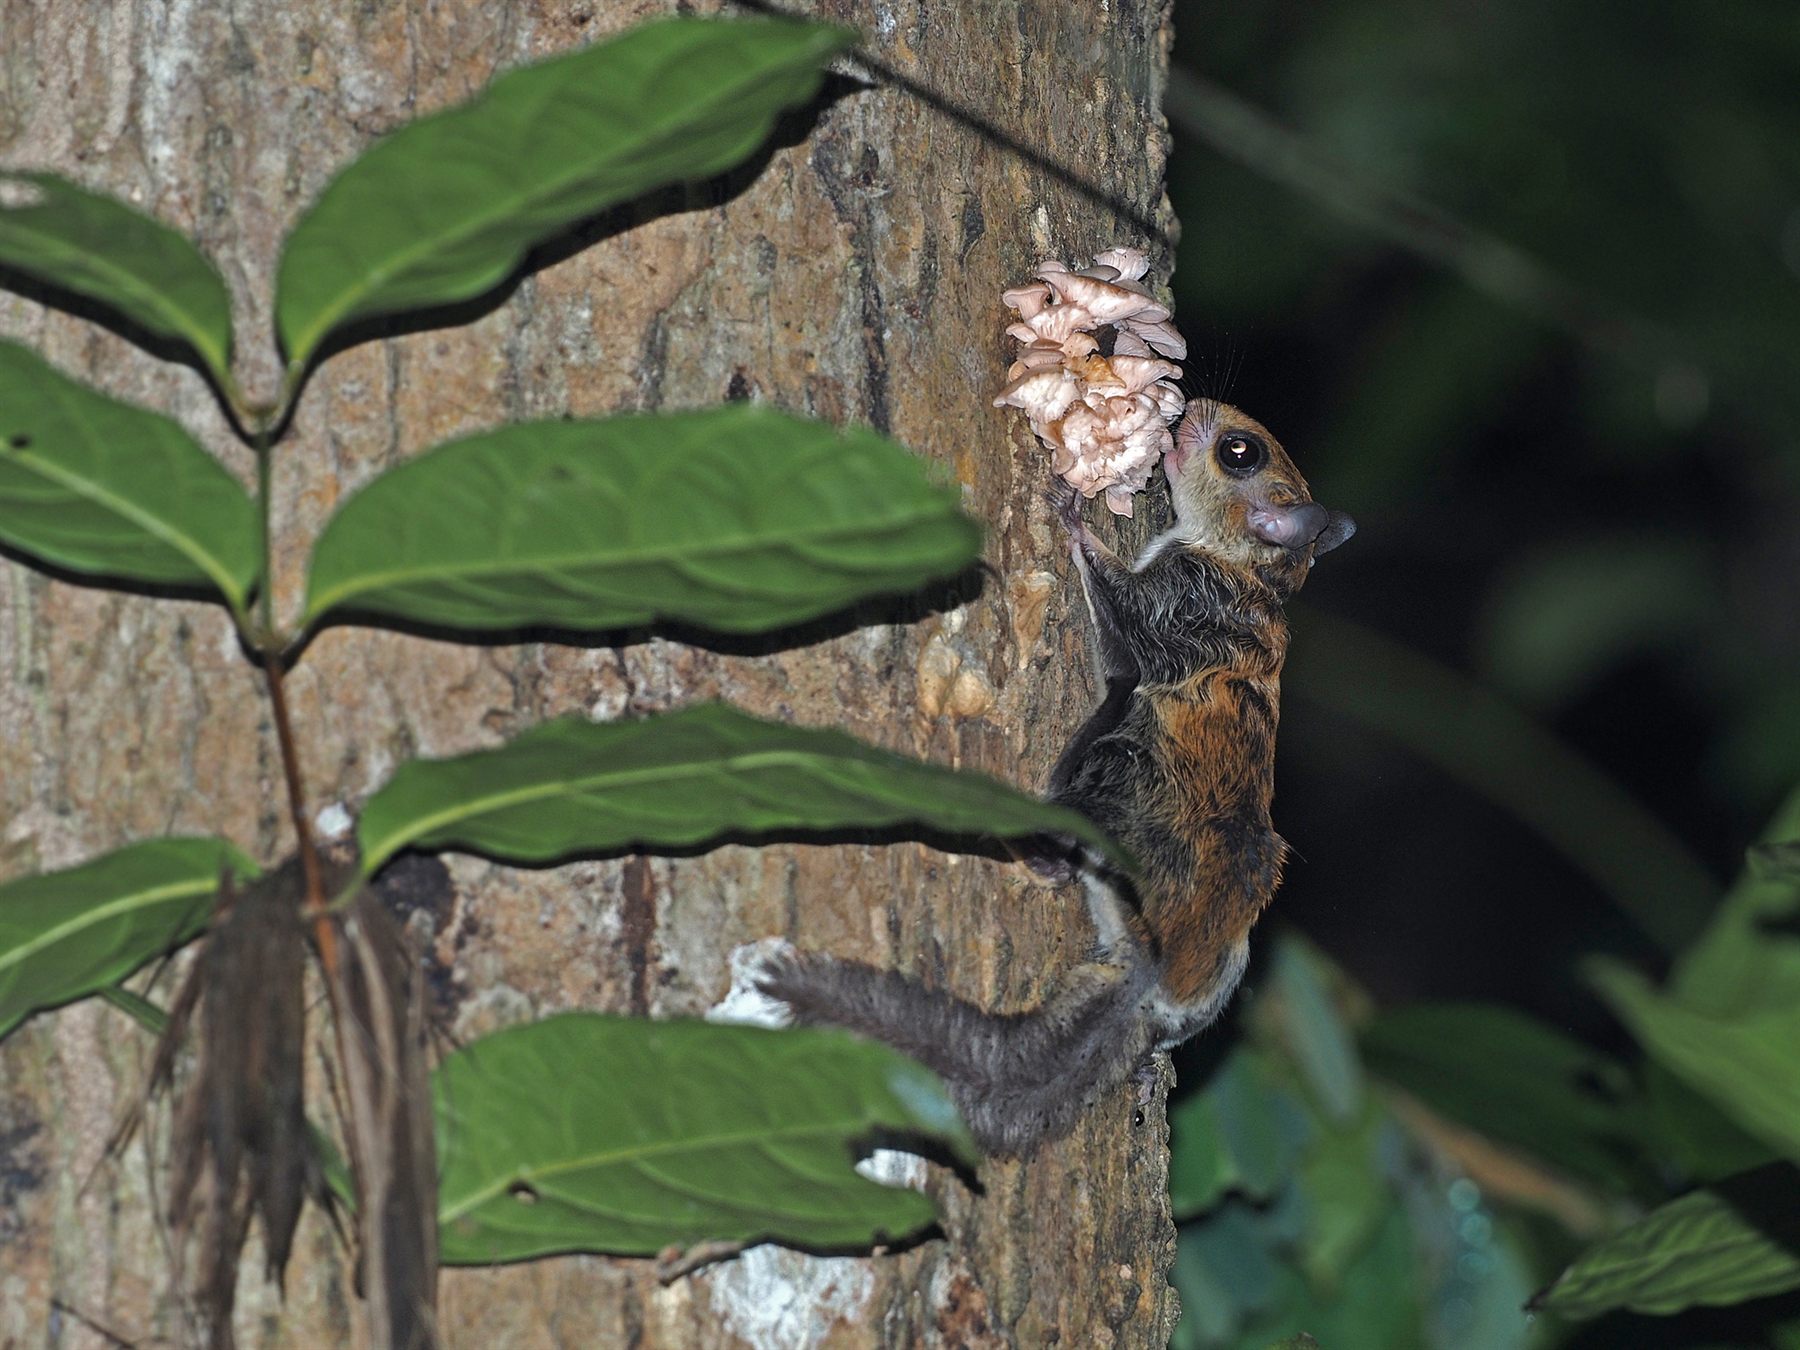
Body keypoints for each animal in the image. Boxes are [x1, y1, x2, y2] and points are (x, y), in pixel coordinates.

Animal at [756, 398, 1354, 1155]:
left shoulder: (1179, 600)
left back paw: (1033, 851)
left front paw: (1071, 515)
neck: (1243, 564)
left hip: (1120, 773)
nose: (1191, 408)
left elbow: (1119, 615)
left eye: (1239, 452)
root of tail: (1154, 972)